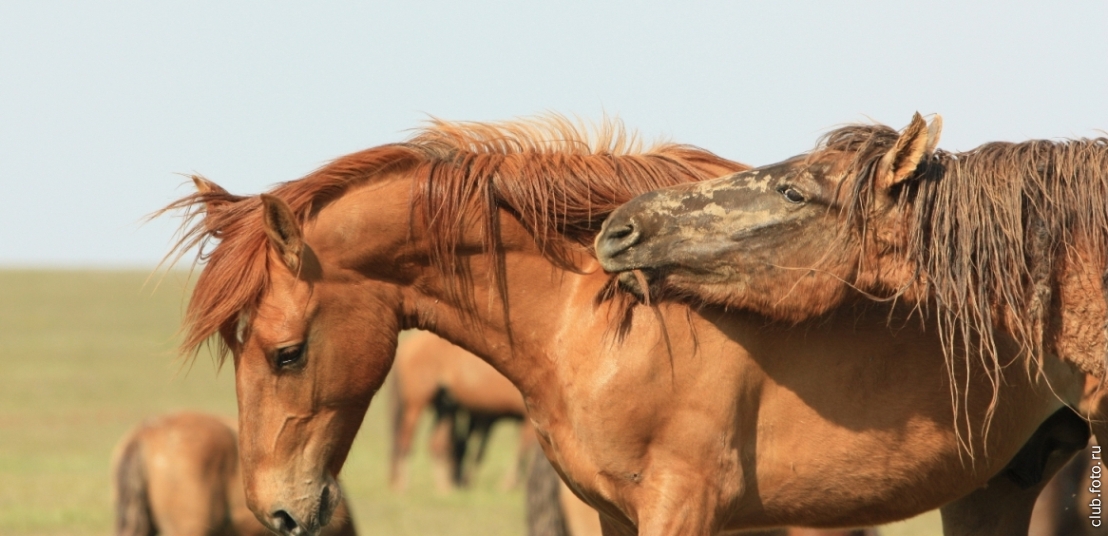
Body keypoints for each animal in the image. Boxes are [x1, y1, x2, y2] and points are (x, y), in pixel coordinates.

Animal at [390, 325, 536, 489]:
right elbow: (524, 450)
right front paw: (509, 482)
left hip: (444, 406)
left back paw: (444, 486)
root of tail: (408, 346)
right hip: (416, 406)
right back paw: (403, 485)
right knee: (405, 441)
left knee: (436, 444)